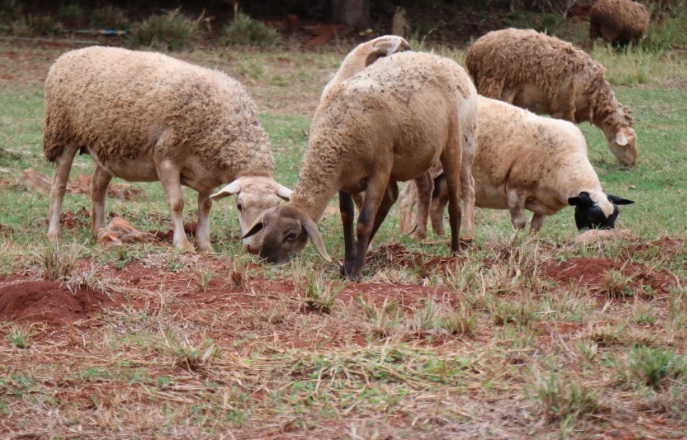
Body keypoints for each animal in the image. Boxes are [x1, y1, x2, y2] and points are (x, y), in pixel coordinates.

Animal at [43, 46, 290, 253]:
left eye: (275, 208)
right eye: (239, 206)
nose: (255, 249)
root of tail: (68, 55)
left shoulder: (207, 173)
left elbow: (206, 206)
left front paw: (205, 245)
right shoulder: (166, 159)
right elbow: (177, 203)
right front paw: (183, 244)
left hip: (107, 148)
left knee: (97, 187)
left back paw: (100, 231)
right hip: (63, 135)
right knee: (58, 187)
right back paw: (53, 234)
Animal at [246, 49, 478, 280]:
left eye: (291, 235)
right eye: (264, 226)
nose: (265, 260)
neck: (334, 136)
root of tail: (434, 57)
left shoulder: (379, 172)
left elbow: (364, 222)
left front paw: (356, 271)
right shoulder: (345, 179)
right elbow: (347, 218)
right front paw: (348, 264)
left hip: (452, 145)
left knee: (455, 203)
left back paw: (455, 251)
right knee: (391, 197)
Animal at [404, 98, 636, 239]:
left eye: (614, 218)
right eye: (593, 218)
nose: (606, 239)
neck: (565, 162)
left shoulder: (543, 202)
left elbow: (535, 227)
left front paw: (531, 244)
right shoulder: (515, 190)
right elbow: (520, 222)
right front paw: (514, 242)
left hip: (445, 179)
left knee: (436, 207)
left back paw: (441, 236)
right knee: (410, 198)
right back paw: (408, 231)